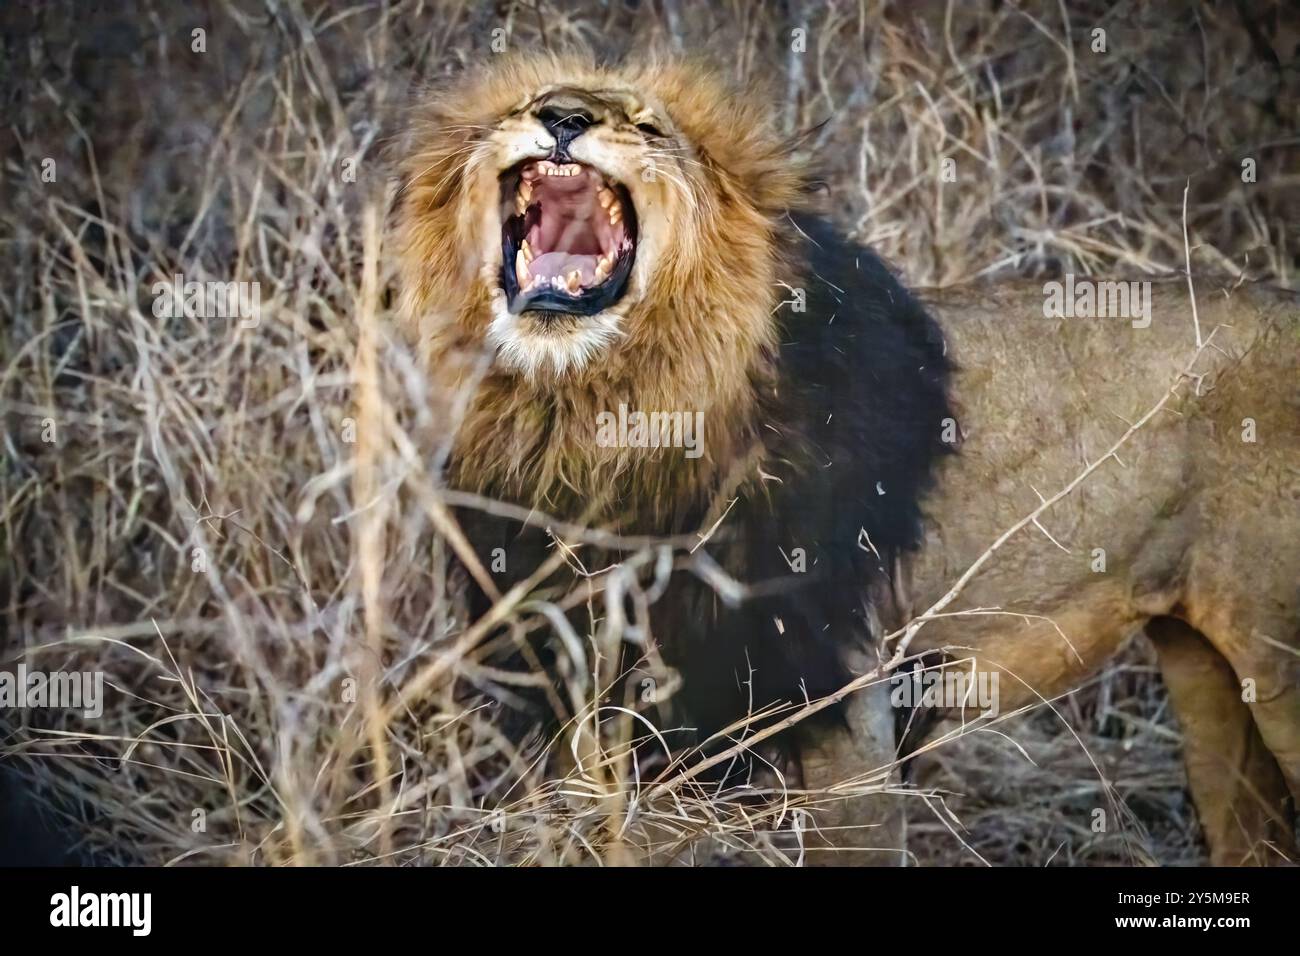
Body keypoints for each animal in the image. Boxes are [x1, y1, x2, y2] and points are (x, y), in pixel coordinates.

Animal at [394, 54, 1299, 865]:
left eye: (648, 126)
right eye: (530, 104)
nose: (563, 118)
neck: (599, 422)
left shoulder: (843, 699)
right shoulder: (587, 701)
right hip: (1210, 686)